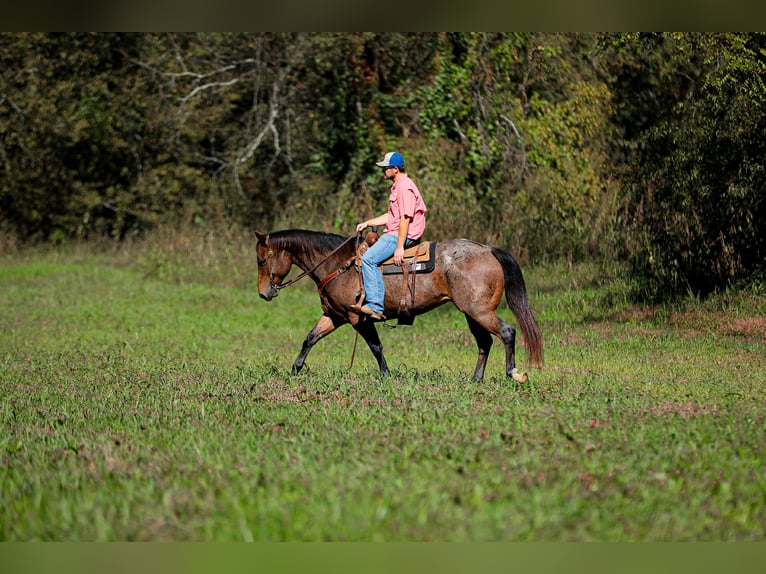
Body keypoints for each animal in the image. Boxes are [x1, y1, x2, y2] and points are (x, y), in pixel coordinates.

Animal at [254, 229, 543, 381]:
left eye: (262, 260)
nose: (263, 293)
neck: (337, 265)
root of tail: (488, 249)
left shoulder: (358, 318)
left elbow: (375, 346)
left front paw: (386, 375)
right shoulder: (334, 315)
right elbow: (310, 339)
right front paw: (294, 371)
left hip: (480, 311)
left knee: (507, 332)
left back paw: (513, 373)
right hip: (471, 313)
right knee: (485, 342)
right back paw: (476, 379)